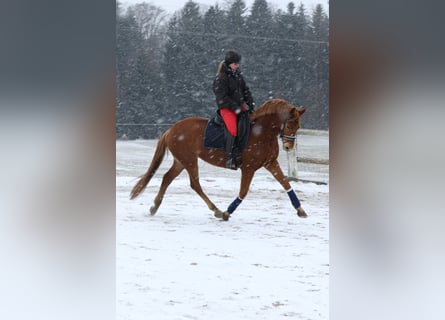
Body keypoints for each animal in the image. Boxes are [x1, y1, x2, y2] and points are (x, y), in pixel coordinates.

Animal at [130, 99, 306, 221]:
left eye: (298, 126)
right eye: (290, 124)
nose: (289, 147)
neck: (262, 132)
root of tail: (171, 129)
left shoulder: (270, 163)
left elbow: (286, 184)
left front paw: (300, 210)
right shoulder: (248, 168)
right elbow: (243, 191)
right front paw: (227, 213)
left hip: (181, 161)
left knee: (167, 178)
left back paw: (154, 207)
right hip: (189, 160)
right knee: (195, 184)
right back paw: (217, 210)